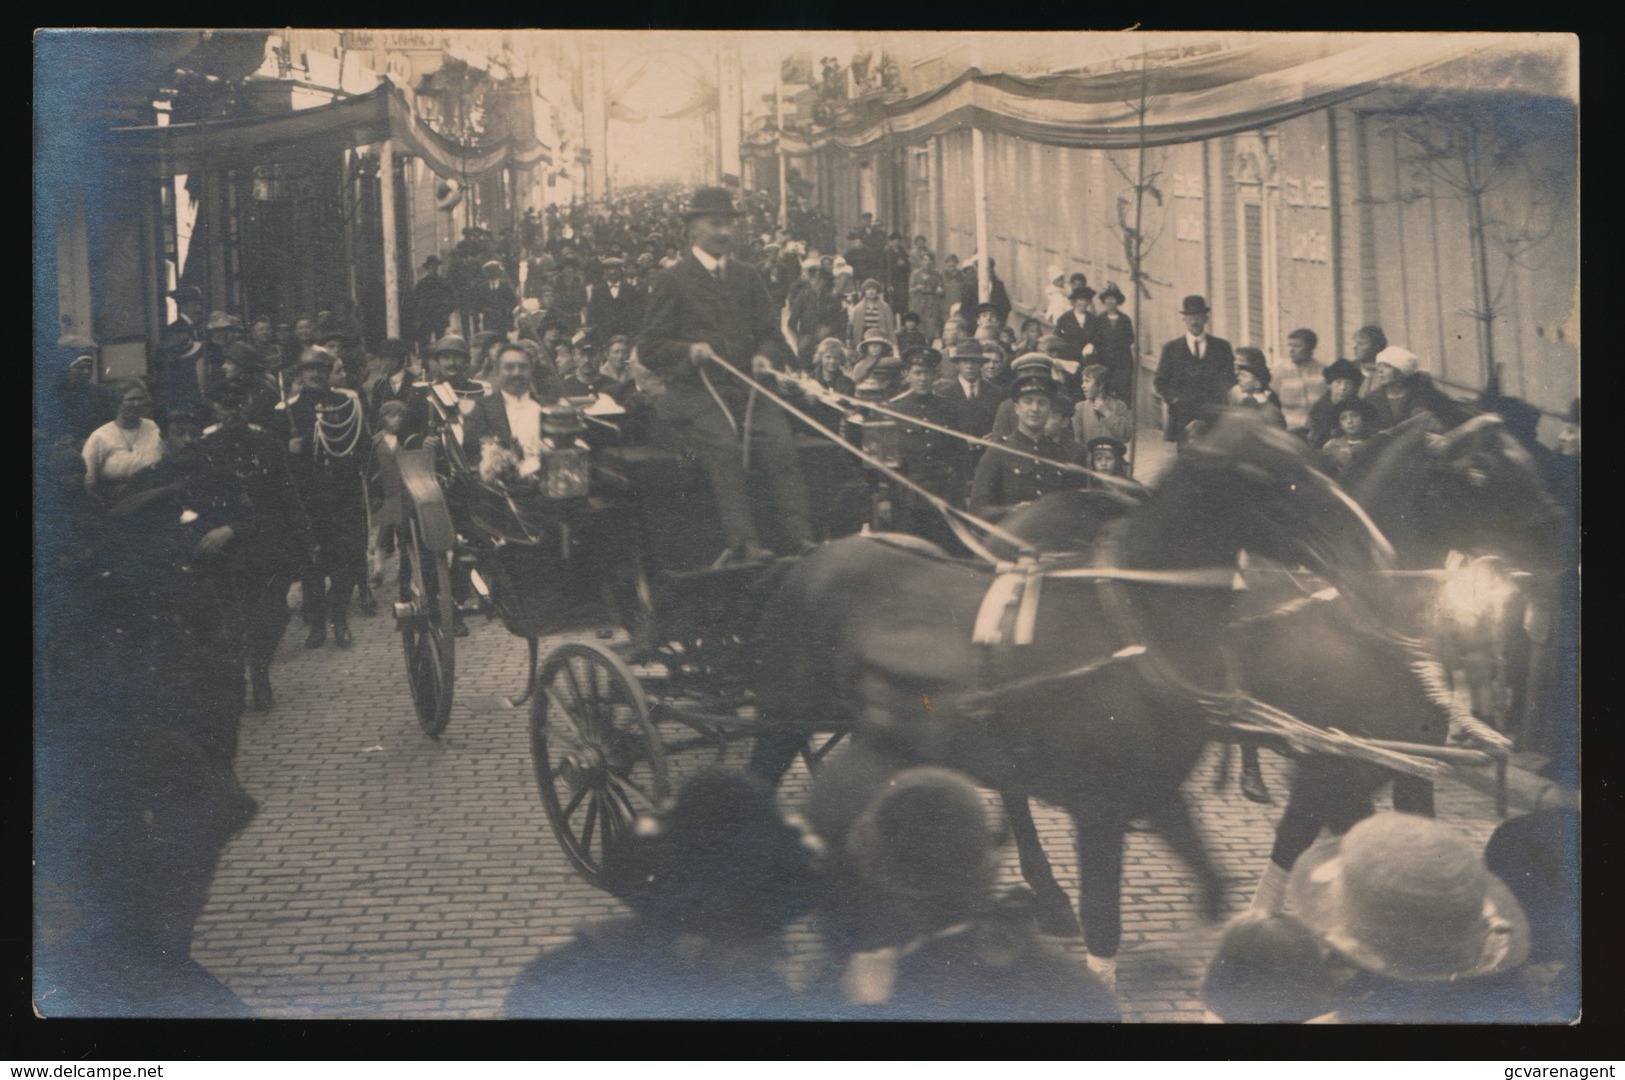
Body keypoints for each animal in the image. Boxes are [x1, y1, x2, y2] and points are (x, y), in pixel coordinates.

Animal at [747, 414, 1397, 967]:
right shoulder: (1100, 807)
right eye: (1275, 479)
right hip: (784, 718)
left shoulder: (1158, 789)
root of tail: (810, 558)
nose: (1374, 552)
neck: (1131, 625)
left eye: (1316, 460)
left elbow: (1213, 879)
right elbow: (1104, 926)